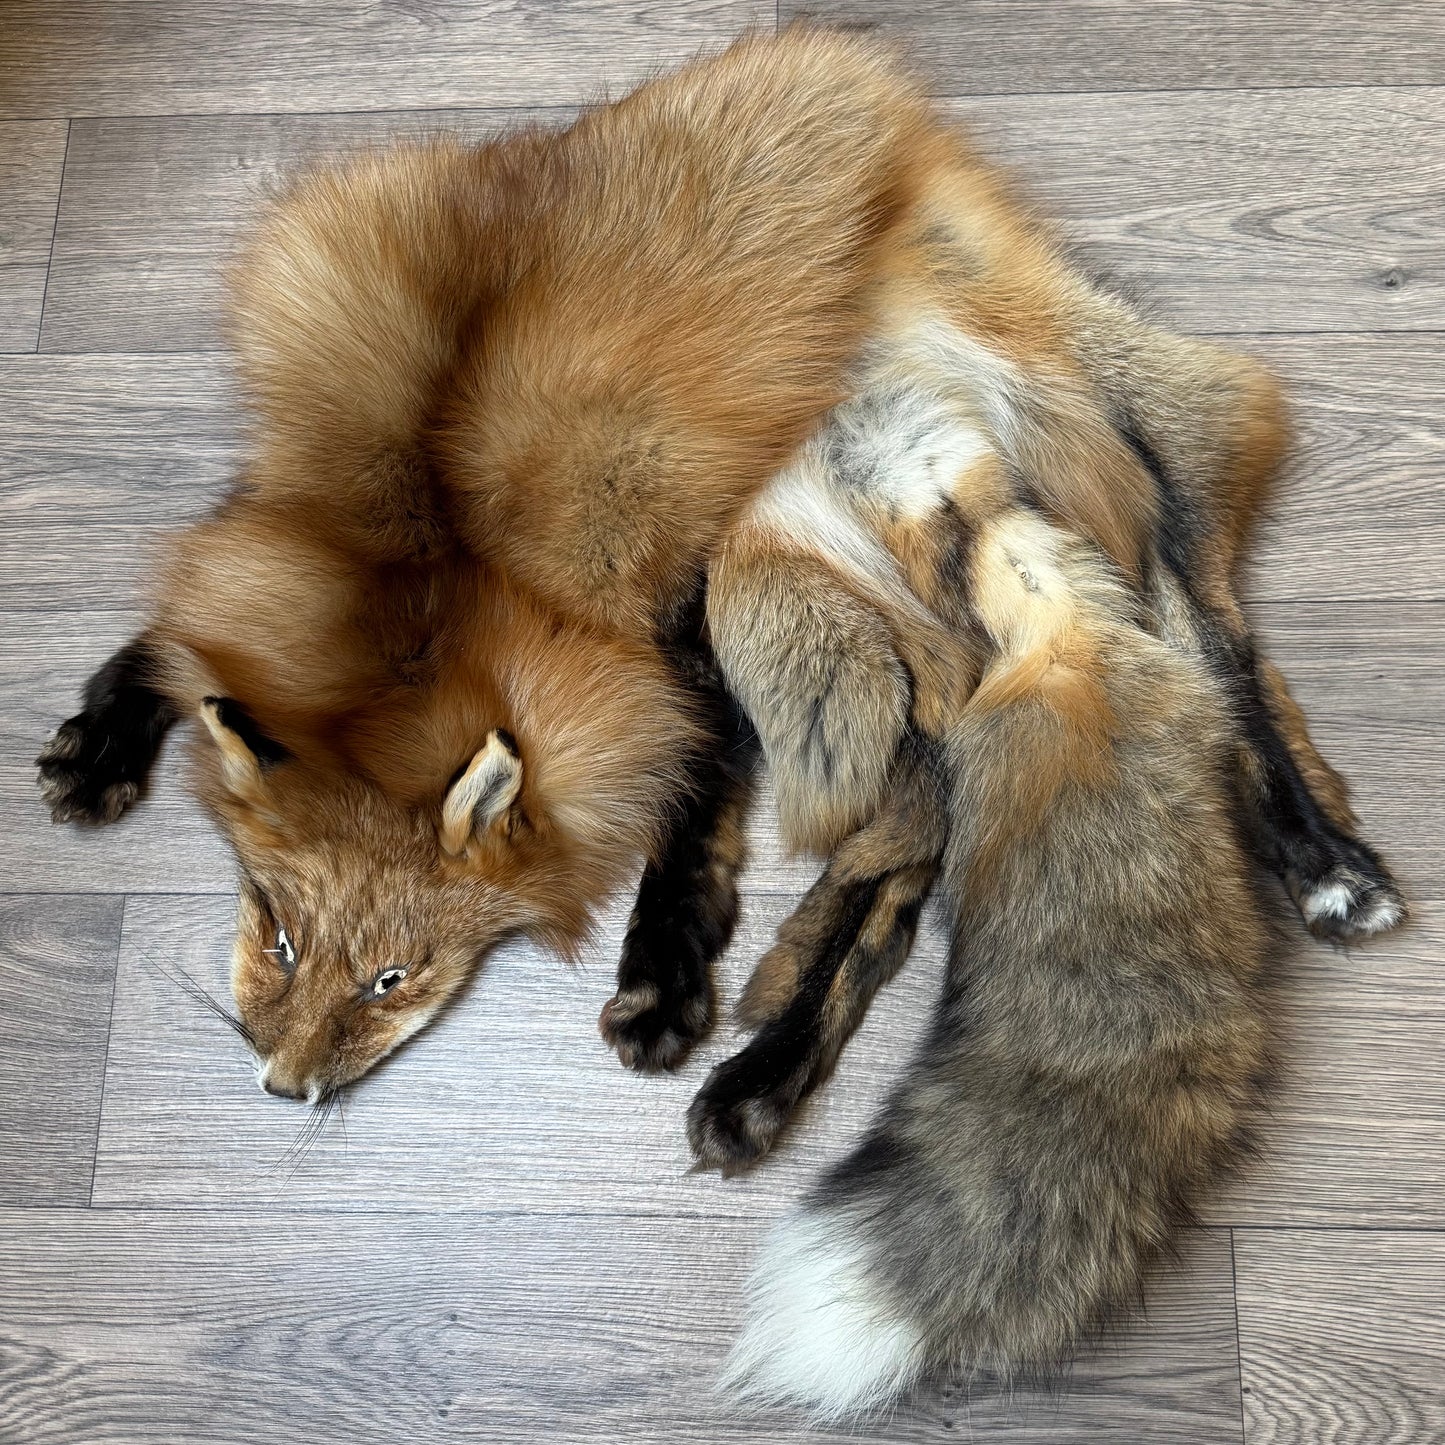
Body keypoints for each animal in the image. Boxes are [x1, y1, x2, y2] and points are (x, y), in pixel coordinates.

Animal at [35, 27, 945, 1097]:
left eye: (394, 978)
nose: (285, 1087)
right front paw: (108, 730)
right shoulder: (303, 552)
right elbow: (190, 621)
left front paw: (661, 982)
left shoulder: (678, 665)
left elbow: (688, 826)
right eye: (282, 939)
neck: (436, 609)